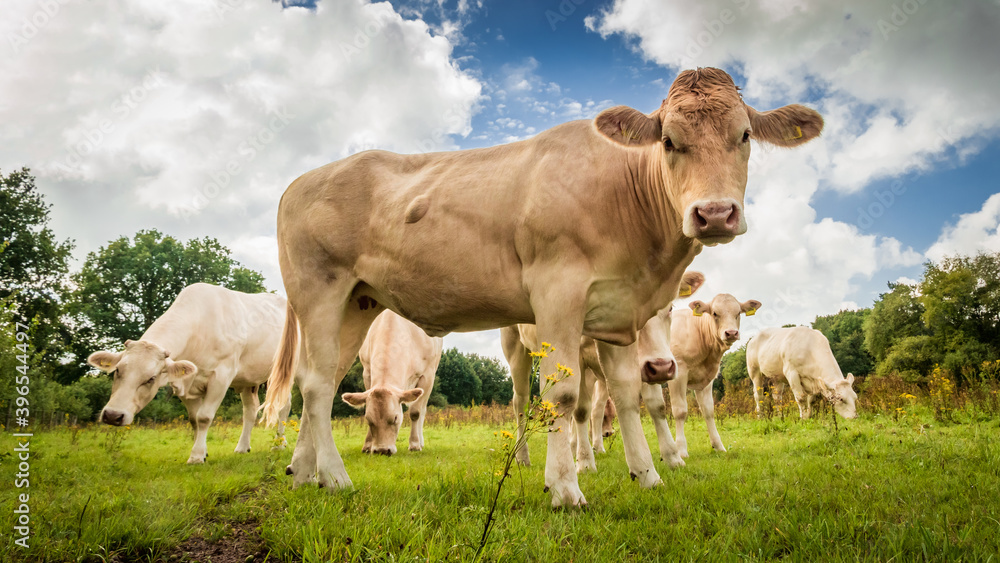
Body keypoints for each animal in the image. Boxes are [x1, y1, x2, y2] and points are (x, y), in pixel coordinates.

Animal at [86, 284, 292, 464]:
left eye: (151, 378)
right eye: (118, 370)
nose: (113, 415)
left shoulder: (221, 376)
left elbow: (204, 417)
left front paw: (196, 456)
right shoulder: (185, 382)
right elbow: (194, 419)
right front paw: (203, 451)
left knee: (284, 407)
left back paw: (279, 444)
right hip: (249, 380)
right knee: (250, 409)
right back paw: (242, 447)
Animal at [340, 310, 442, 456]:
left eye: (395, 418)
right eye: (368, 419)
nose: (382, 450)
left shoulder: (427, 375)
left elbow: (415, 412)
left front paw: (414, 444)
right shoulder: (367, 372)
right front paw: (367, 445)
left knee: (422, 410)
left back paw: (420, 442)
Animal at [668, 296, 760, 458]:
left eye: (738, 313)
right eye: (715, 313)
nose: (731, 333)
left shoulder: (706, 379)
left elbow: (708, 411)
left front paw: (718, 446)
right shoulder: (678, 373)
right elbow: (680, 411)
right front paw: (681, 450)